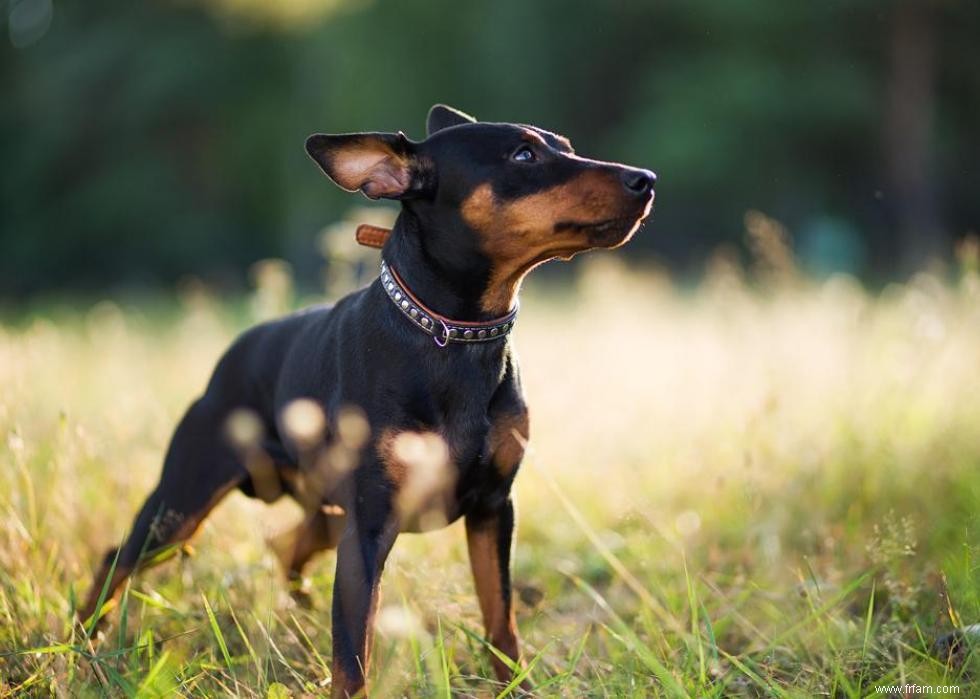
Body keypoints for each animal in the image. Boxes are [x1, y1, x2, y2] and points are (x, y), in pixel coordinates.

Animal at [80, 102, 656, 696]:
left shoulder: (494, 508)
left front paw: (514, 687)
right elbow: (353, 657)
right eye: (523, 155)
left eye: (564, 147)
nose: (646, 180)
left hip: (324, 514)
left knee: (285, 546)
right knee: (117, 557)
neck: (452, 337)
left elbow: (501, 620)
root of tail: (231, 356)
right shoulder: (370, 528)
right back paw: (87, 646)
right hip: (182, 504)